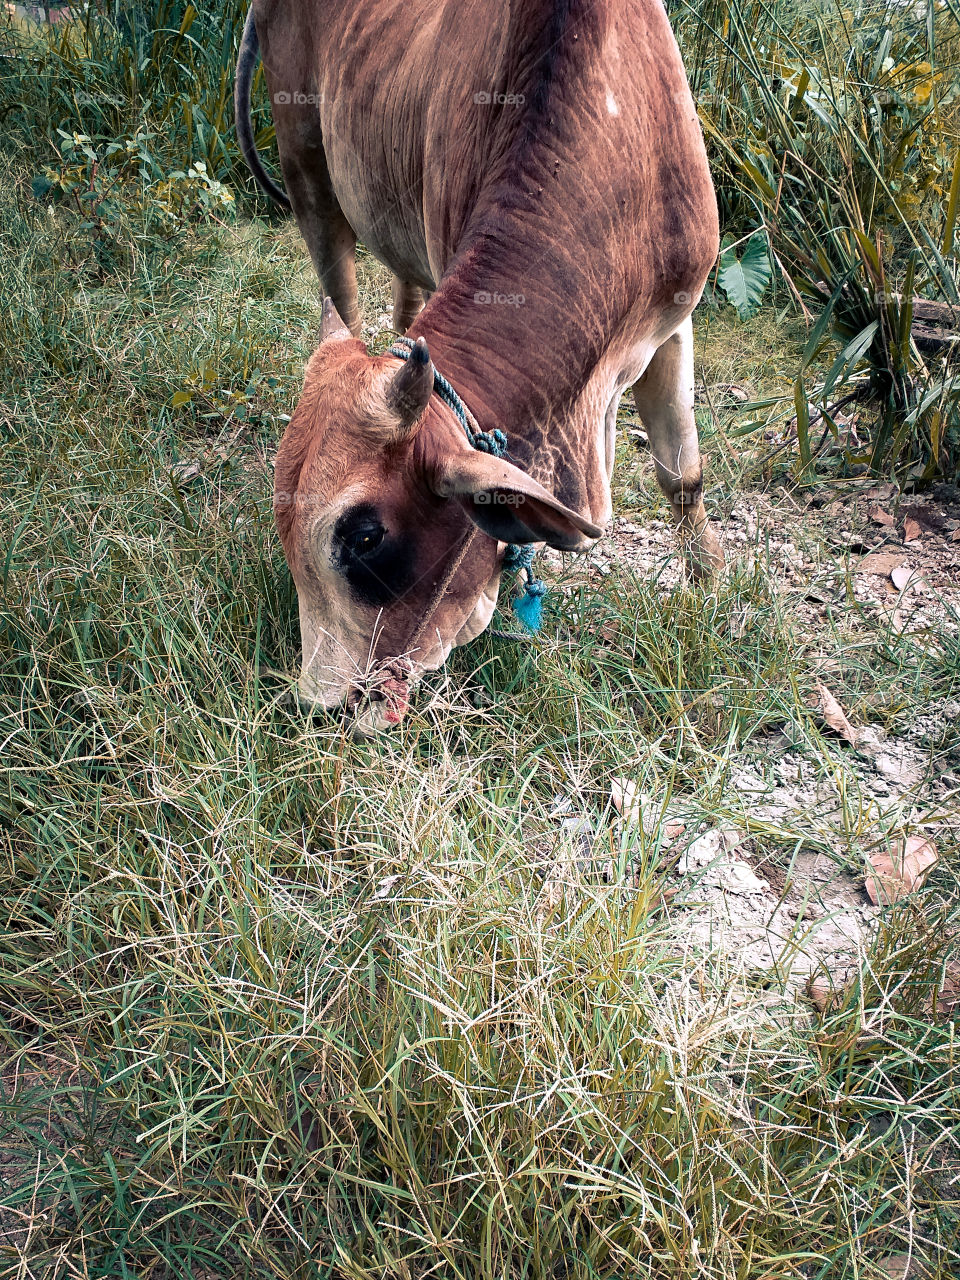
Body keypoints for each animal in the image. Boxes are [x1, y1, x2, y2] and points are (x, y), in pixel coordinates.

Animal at [236, 0, 727, 737]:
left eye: (366, 537)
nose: (322, 706)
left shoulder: (673, 322)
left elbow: (682, 475)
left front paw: (710, 587)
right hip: (305, 165)